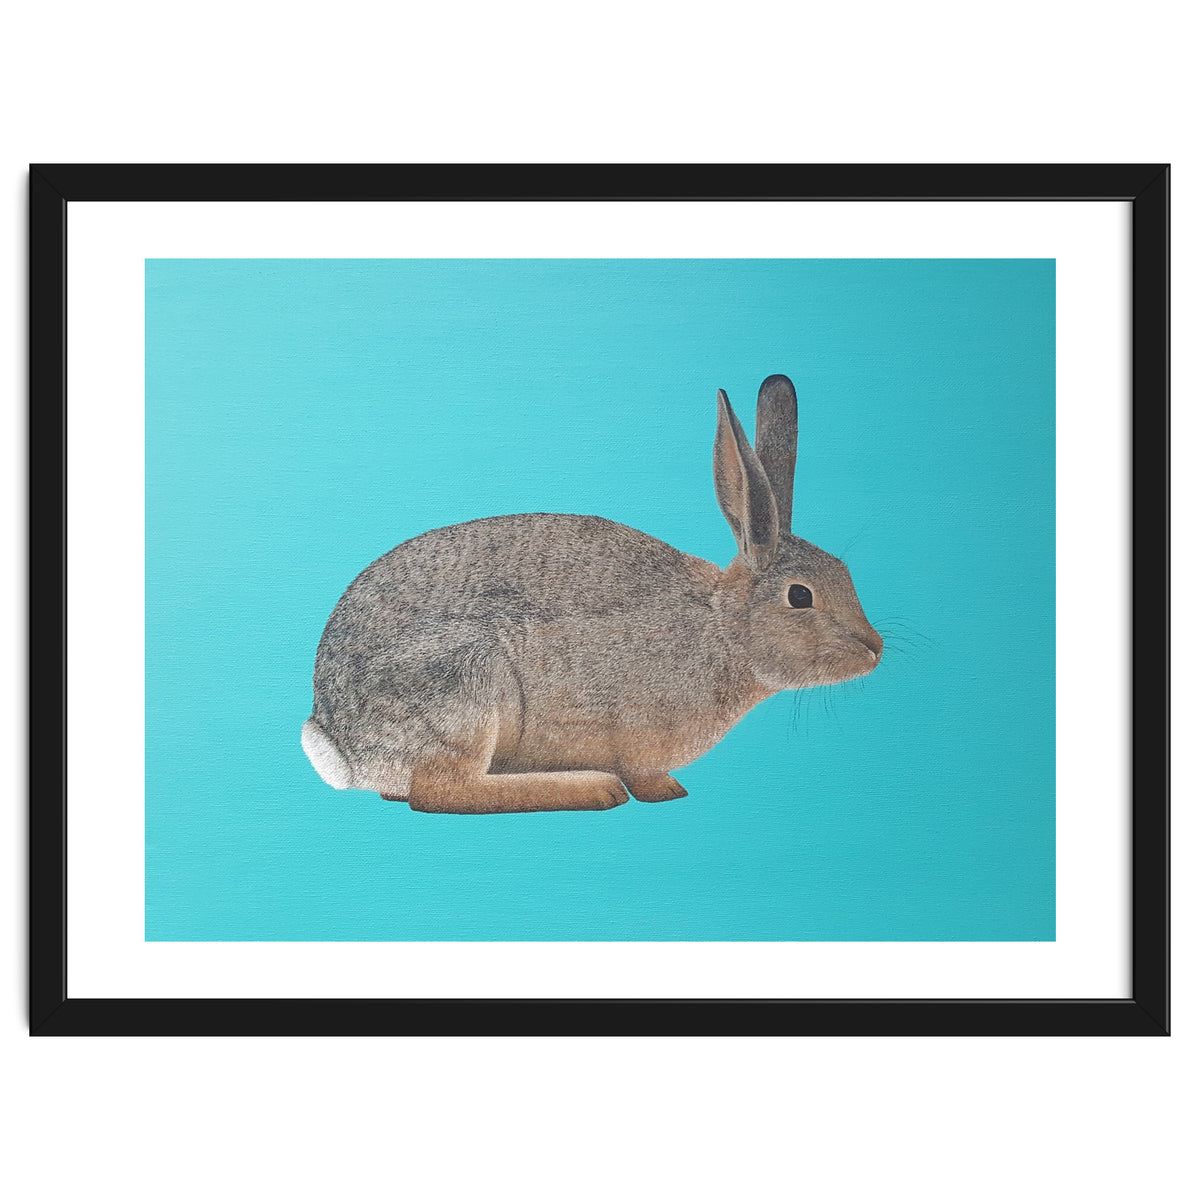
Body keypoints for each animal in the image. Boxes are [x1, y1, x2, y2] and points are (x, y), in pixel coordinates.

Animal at [302, 375, 882, 813]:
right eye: (801, 597)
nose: (874, 649)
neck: (724, 628)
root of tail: (341, 743)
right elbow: (644, 775)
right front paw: (664, 791)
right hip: (465, 683)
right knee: (440, 791)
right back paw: (592, 788)